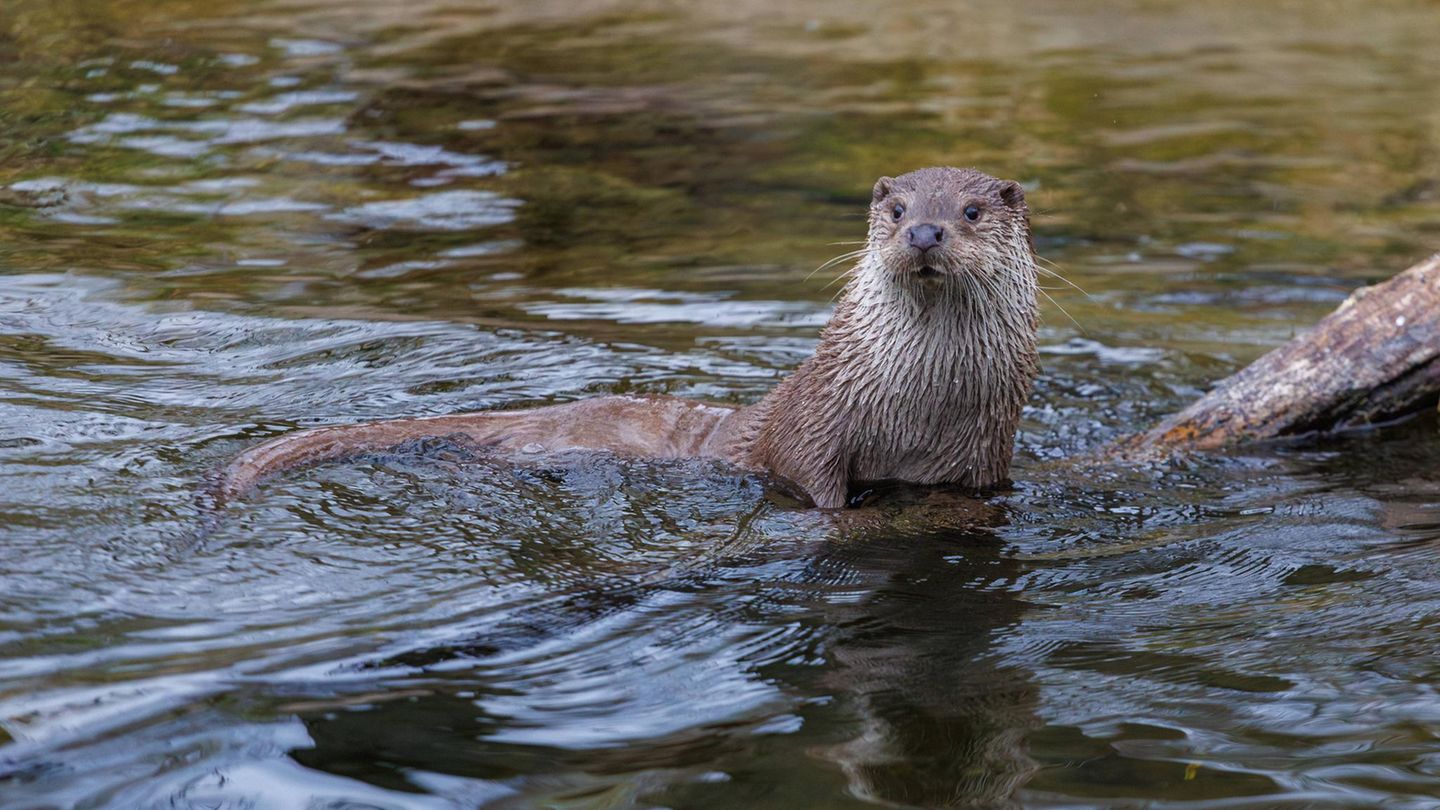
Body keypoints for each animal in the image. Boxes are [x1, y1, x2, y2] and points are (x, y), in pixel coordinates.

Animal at [218, 167, 1039, 509]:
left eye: (970, 211)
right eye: (898, 209)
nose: (925, 231)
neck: (923, 401)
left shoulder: (987, 449)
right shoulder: (816, 427)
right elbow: (815, 485)